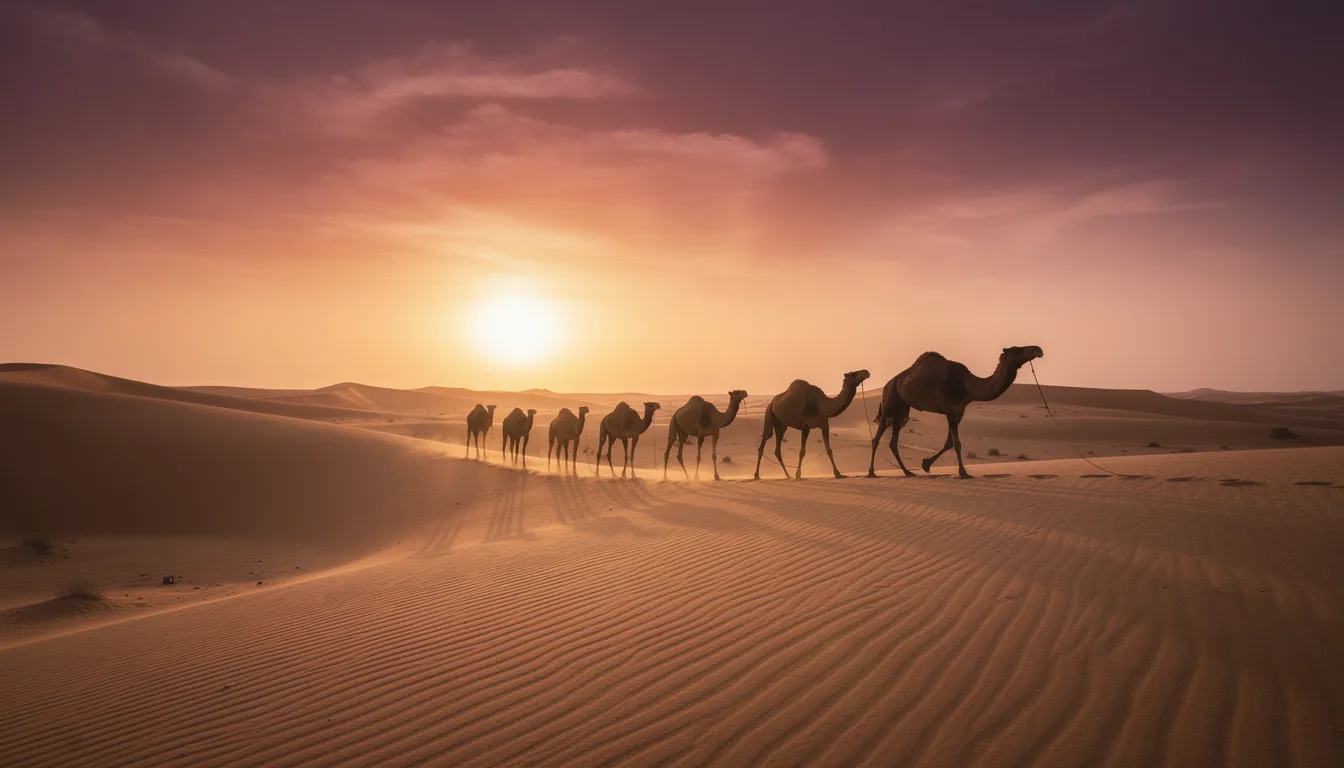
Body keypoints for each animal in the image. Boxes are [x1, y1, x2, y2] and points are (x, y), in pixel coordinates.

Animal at [867, 345, 1044, 479]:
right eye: (1017, 350)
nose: (1038, 349)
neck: (968, 386)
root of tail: (887, 384)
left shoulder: (959, 411)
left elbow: (949, 442)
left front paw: (925, 465)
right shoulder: (950, 410)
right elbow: (957, 443)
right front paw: (963, 473)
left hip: (902, 411)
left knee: (893, 441)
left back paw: (907, 472)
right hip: (889, 402)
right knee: (877, 438)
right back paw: (871, 472)